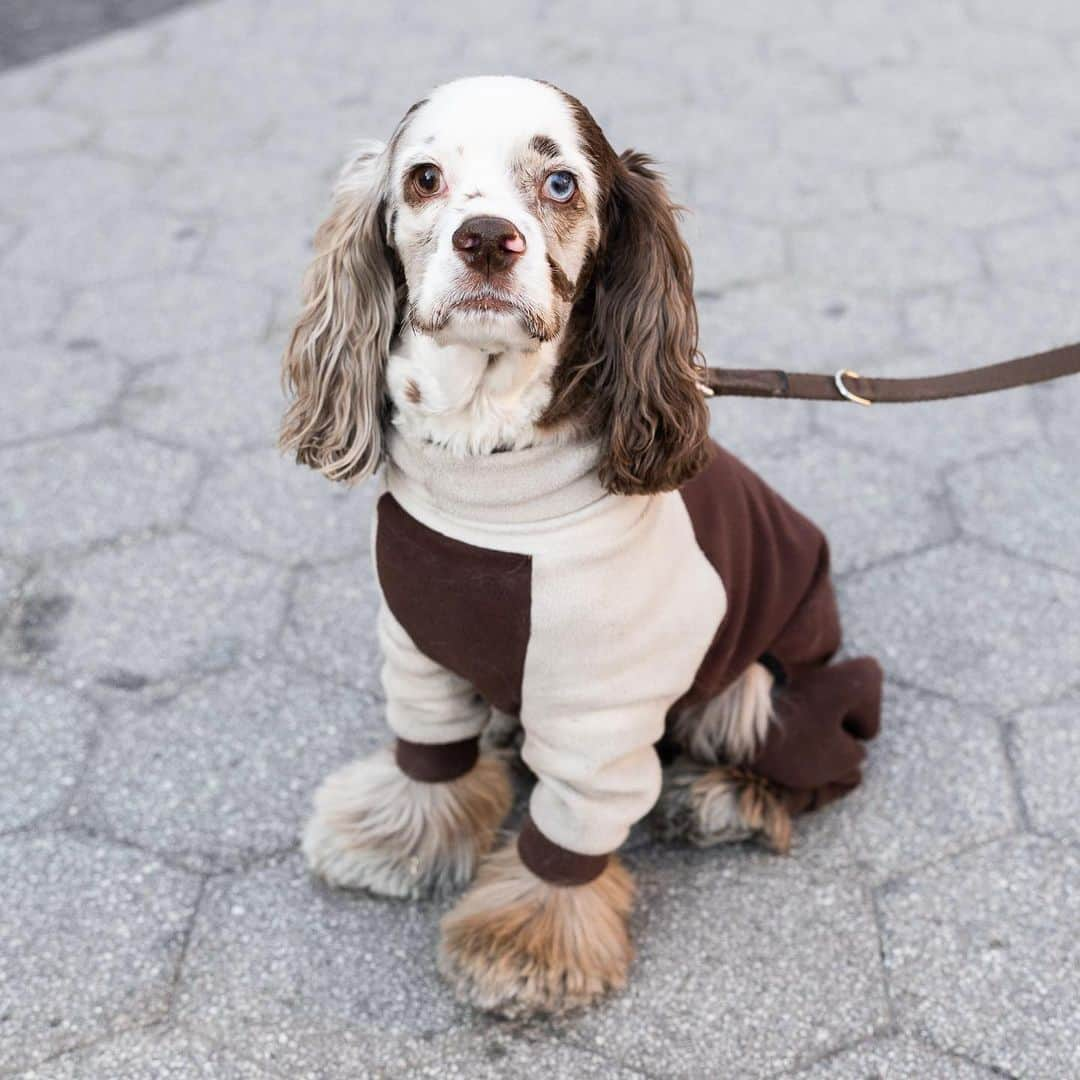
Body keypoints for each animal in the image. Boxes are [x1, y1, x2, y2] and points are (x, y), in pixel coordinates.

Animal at [282, 76, 881, 1019]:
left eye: (560, 182)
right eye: (424, 178)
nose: (487, 239)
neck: (488, 470)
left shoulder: (602, 709)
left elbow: (568, 832)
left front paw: (528, 941)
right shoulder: (418, 646)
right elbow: (429, 754)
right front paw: (397, 836)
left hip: (764, 678)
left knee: (823, 757)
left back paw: (724, 800)